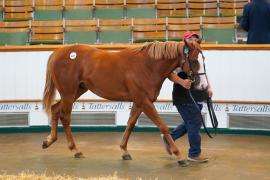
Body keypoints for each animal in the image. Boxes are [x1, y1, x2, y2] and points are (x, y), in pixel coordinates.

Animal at [41, 40, 202, 164]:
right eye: (194, 60)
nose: (198, 83)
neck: (147, 66)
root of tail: (57, 52)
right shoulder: (144, 102)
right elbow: (163, 126)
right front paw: (180, 156)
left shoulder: (139, 102)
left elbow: (130, 124)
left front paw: (124, 151)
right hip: (68, 93)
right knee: (65, 117)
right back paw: (75, 150)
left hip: (76, 91)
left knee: (55, 109)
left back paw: (49, 140)